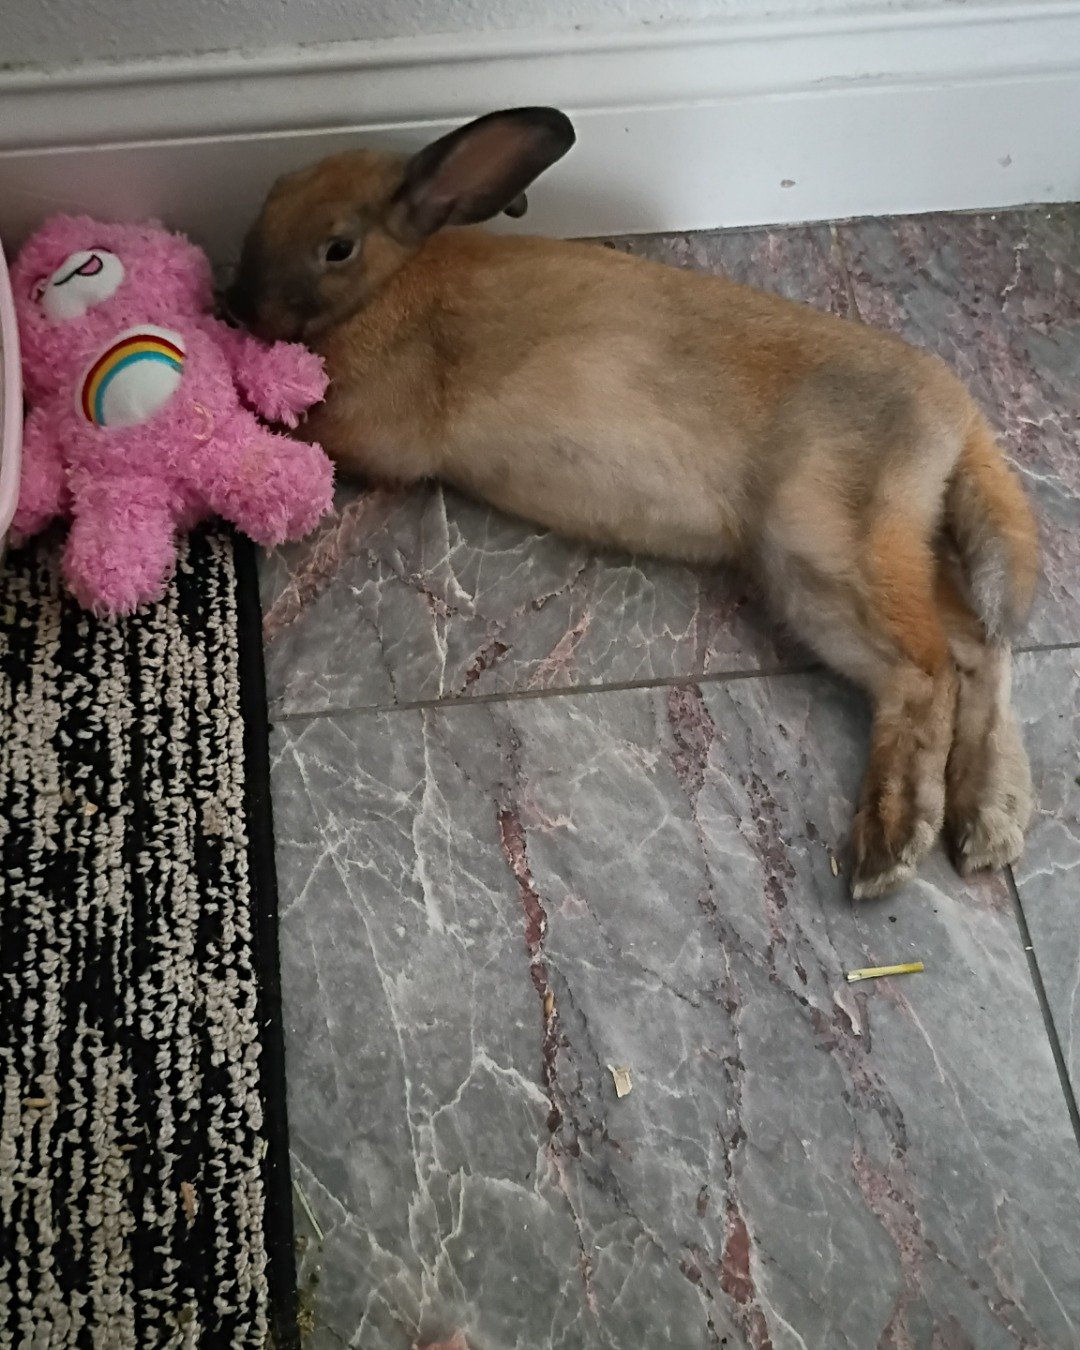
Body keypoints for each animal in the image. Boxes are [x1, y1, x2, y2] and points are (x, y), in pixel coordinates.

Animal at [226, 107, 1039, 900]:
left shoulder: (368, 427)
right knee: (978, 647)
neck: (390, 282)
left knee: (926, 670)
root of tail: (956, 416)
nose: (233, 306)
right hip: (883, 553)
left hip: (825, 553)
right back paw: (988, 824)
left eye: (337, 247)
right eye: (272, 192)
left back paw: (891, 845)